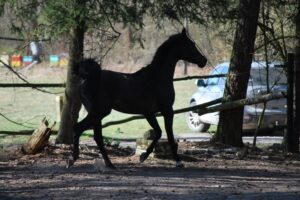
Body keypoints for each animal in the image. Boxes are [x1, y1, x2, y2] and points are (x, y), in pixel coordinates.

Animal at [69, 28, 207, 169]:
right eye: (191, 45)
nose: (204, 61)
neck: (157, 78)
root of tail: (88, 77)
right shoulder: (167, 110)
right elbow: (169, 135)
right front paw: (178, 161)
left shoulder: (149, 113)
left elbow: (158, 132)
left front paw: (143, 156)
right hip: (100, 111)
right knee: (79, 128)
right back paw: (73, 160)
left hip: (96, 112)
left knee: (96, 136)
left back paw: (108, 163)